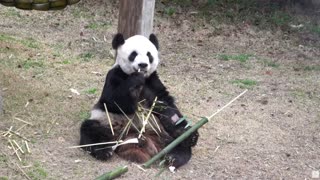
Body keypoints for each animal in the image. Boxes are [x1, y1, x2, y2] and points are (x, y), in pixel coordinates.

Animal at [79, 32, 199, 169]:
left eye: (149, 55)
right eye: (133, 54)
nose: (143, 65)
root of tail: (133, 137)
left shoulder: (153, 81)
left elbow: (164, 104)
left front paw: (184, 130)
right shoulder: (115, 75)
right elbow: (111, 101)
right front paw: (135, 82)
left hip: (161, 131)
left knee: (178, 142)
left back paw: (176, 154)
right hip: (106, 122)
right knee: (91, 130)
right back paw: (104, 151)